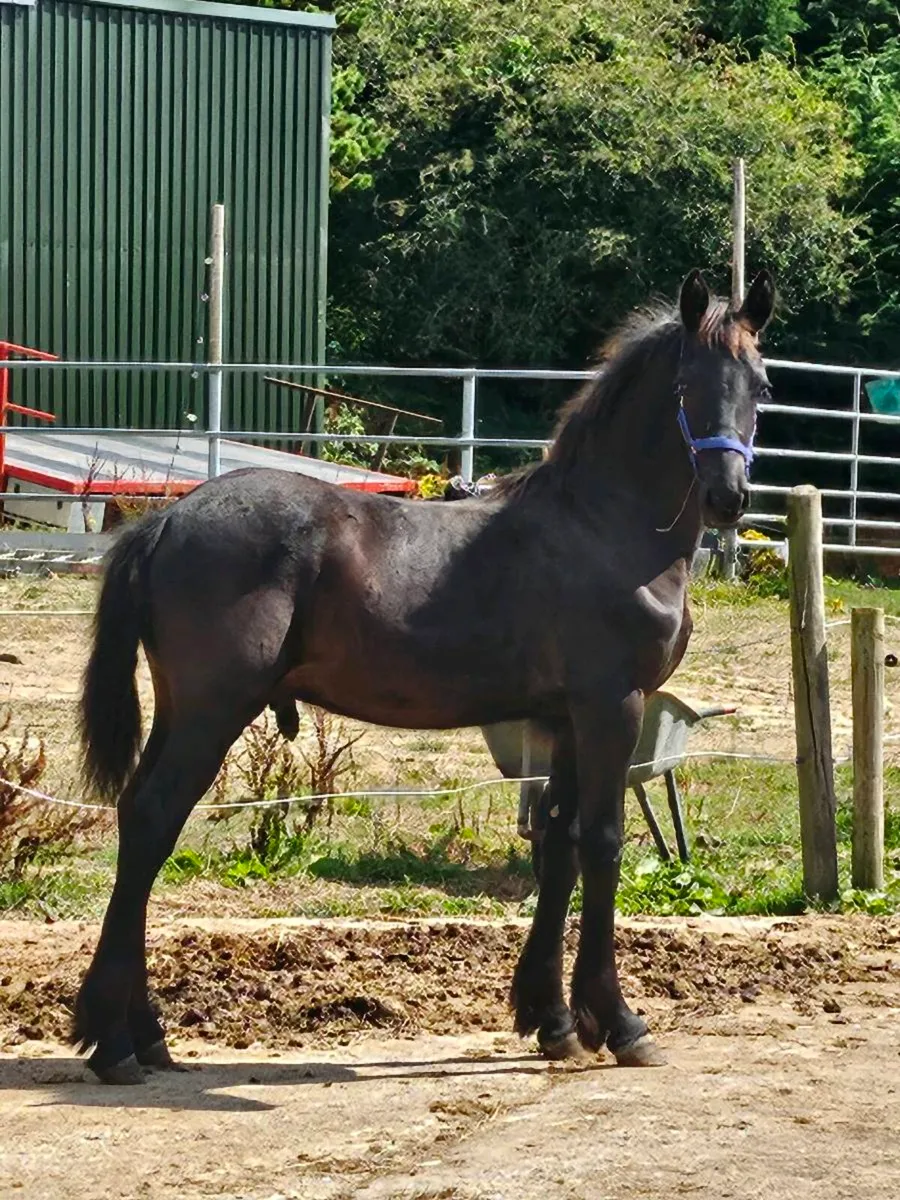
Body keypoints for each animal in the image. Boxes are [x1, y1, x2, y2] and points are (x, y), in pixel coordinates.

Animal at [74, 268, 775, 1083]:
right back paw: (117, 1044)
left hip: (183, 709)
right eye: (687, 386)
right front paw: (620, 1021)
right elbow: (602, 843)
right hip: (210, 712)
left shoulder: (565, 719)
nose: (729, 497)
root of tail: (168, 520)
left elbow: (559, 849)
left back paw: (143, 1033)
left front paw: (553, 1020)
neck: (604, 528)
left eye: (760, 385)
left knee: (137, 817)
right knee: (155, 819)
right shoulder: (613, 708)